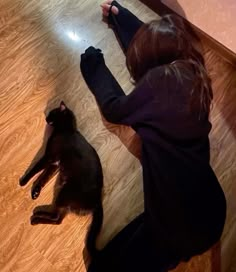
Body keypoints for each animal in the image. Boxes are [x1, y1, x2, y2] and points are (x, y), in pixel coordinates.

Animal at [20, 101, 104, 256]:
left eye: (52, 113)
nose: (46, 118)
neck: (67, 130)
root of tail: (98, 201)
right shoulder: (55, 164)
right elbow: (44, 178)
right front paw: (35, 192)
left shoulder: (49, 157)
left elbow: (35, 170)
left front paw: (23, 181)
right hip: (64, 198)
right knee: (58, 220)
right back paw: (37, 216)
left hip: (64, 194)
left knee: (56, 218)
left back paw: (36, 218)